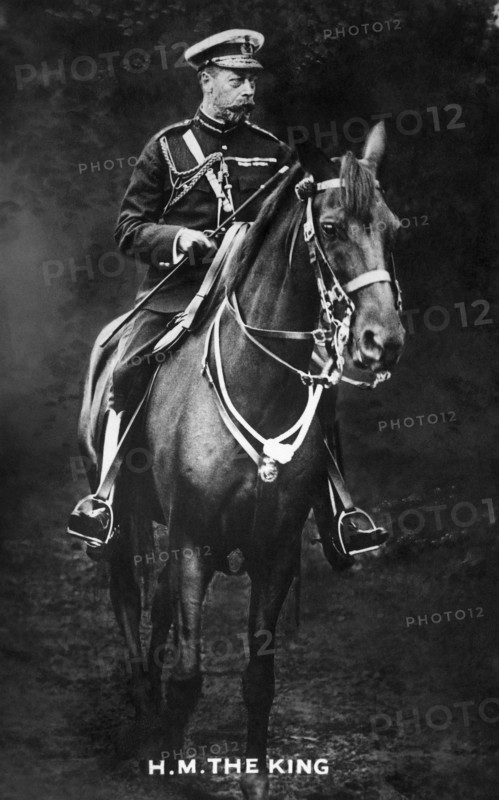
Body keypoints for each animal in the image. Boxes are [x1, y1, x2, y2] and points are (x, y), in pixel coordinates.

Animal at [78, 122, 405, 799]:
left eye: (391, 229)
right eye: (331, 227)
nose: (383, 341)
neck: (260, 384)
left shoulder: (275, 550)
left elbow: (258, 678)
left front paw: (254, 780)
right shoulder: (193, 542)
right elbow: (189, 672)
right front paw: (169, 763)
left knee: (155, 606)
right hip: (123, 519)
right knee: (128, 600)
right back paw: (142, 709)